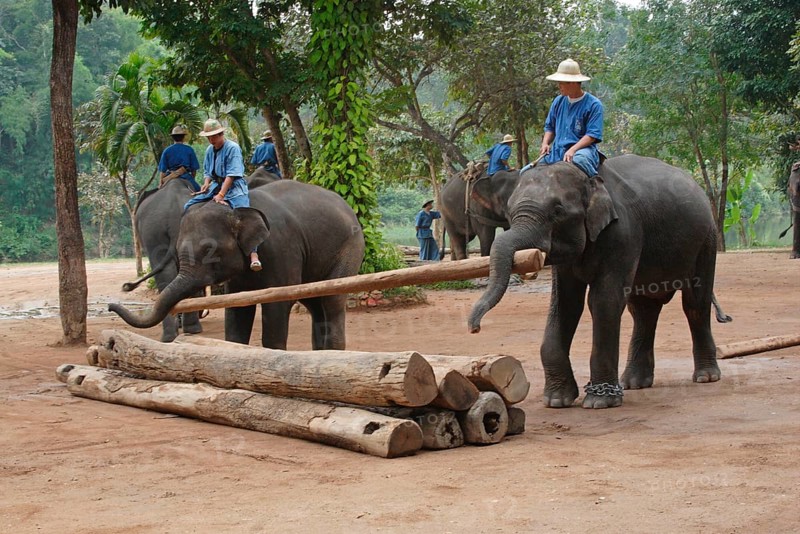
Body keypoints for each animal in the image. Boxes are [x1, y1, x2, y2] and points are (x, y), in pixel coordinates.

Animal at [467, 154, 732, 409]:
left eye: (558, 211)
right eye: (509, 212)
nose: (474, 328)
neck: (588, 179)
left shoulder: (623, 233)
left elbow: (603, 301)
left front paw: (600, 401)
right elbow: (565, 305)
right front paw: (557, 401)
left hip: (706, 239)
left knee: (695, 304)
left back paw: (706, 377)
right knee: (643, 309)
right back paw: (634, 383)